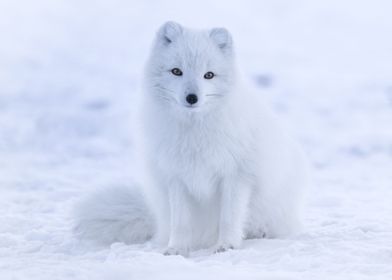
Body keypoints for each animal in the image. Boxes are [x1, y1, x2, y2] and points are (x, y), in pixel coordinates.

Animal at [73, 21, 308, 258]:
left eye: (209, 75)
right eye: (177, 71)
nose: (192, 98)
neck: (194, 132)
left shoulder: (236, 175)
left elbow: (229, 217)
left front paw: (226, 246)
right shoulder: (176, 177)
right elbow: (181, 222)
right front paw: (176, 249)